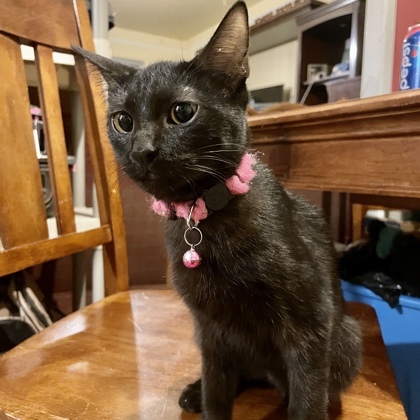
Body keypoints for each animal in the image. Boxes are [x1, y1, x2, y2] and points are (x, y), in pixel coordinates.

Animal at [74, 1, 360, 418]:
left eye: (182, 112)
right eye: (123, 121)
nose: (142, 150)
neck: (204, 217)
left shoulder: (310, 324)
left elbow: (307, 396)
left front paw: (306, 406)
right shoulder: (209, 326)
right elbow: (216, 387)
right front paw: (207, 398)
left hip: (348, 335)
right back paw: (195, 392)